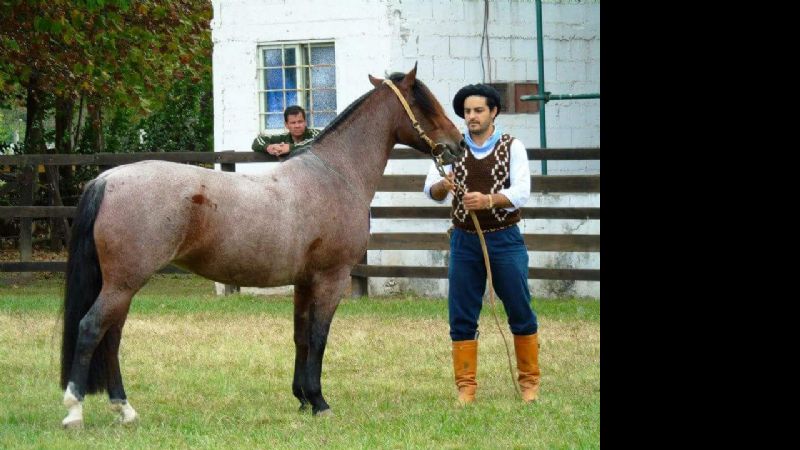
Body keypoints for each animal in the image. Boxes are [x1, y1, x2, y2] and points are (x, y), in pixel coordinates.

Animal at [58, 65, 466, 428]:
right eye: (426, 104)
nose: (458, 146)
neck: (335, 174)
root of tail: (107, 179)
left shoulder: (304, 282)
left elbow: (301, 336)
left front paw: (302, 399)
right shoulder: (331, 279)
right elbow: (319, 337)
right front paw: (320, 402)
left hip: (122, 287)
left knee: (111, 339)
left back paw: (124, 410)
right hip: (123, 284)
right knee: (91, 329)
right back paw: (75, 411)